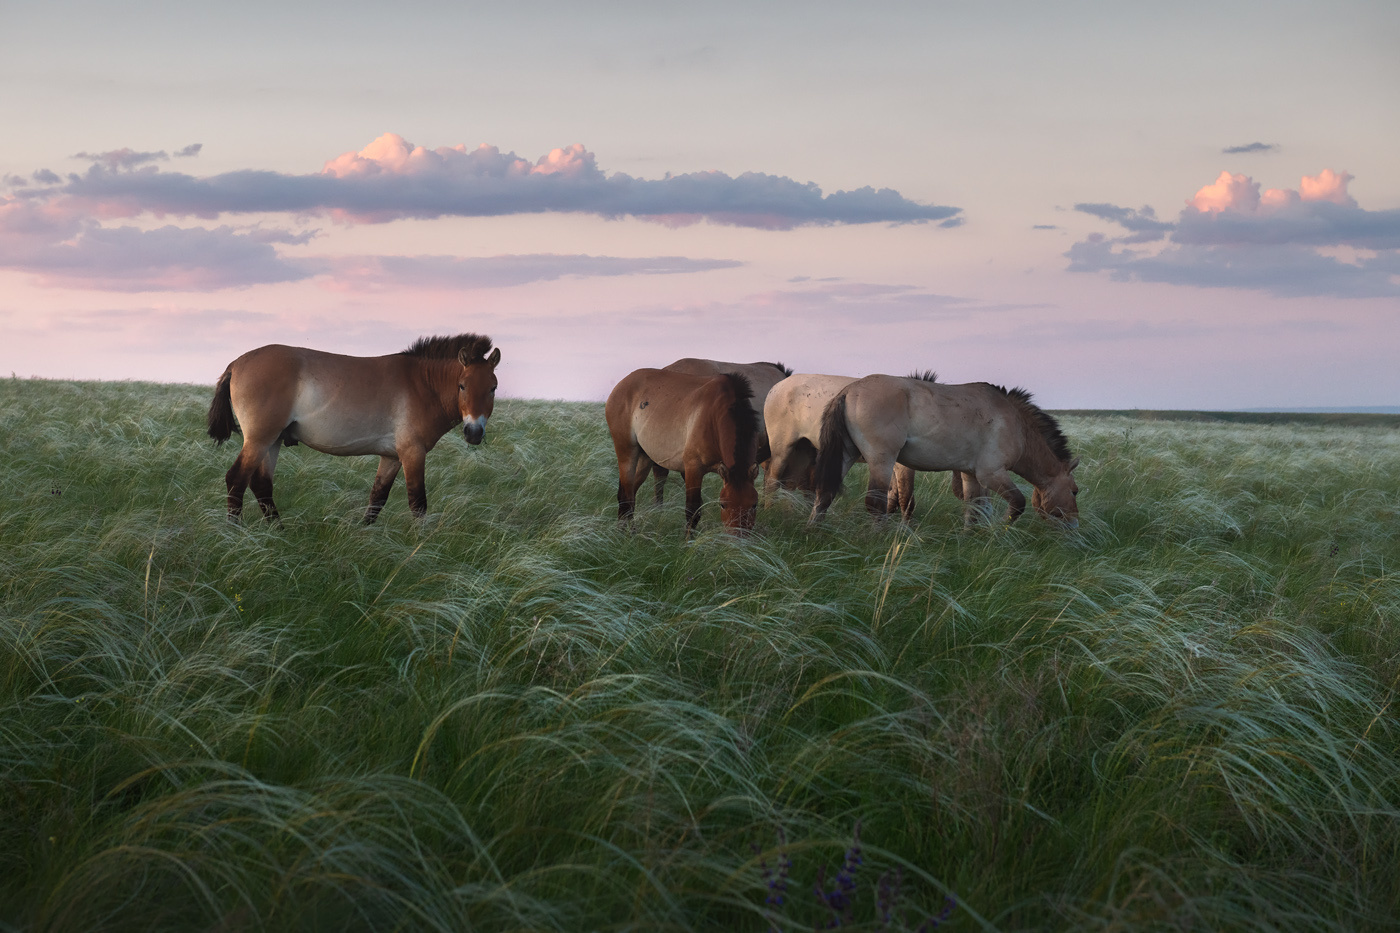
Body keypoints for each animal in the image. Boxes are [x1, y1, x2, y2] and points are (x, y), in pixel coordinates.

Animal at [207, 334, 501, 523]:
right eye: (462, 386)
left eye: (493, 387)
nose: (474, 432)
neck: (422, 384)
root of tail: (237, 363)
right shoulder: (413, 453)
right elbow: (418, 504)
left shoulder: (392, 457)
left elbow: (377, 499)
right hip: (259, 440)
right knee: (236, 480)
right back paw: (233, 533)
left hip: (273, 441)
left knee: (261, 485)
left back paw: (279, 532)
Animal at [605, 368, 760, 535]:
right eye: (723, 504)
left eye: (754, 504)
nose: (738, 537)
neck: (715, 415)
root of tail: (621, 385)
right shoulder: (693, 468)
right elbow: (692, 511)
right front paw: (688, 540)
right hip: (627, 453)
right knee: (626, 497)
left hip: (644, 459)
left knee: (630, 495)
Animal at [763, 372, 917, 517]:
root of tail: (776, 387)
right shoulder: (900, 464)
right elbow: (906, 499)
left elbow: (893, 498)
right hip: (784, 449)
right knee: (774, 481)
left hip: (802, 450)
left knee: (789, 485)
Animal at [810, 374, 1079, 527]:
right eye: (1075, 491)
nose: (1075, 524)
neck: (1016, 424)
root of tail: (849, 390)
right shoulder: (992, 474)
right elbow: (1017, 503)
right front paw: (999, 530)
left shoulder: (971, 475)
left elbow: (975, 508)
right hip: (881, 461)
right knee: (875, 504)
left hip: (846, 456)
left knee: (824, 494)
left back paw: (815, 532)